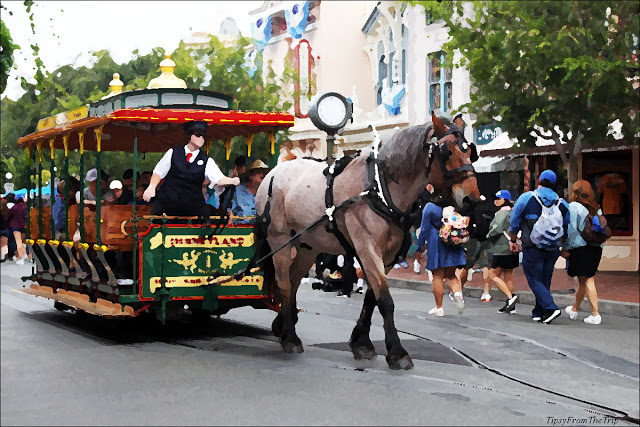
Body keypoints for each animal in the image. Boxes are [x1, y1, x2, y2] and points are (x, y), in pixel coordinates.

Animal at [252, 112, 478, 370]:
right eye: (447, 152)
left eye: (470, 150)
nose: (471, 199)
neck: (380, 187)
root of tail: (272, 174)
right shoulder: (367, 248)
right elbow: (386, 300)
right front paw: (397, 352)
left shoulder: (388, 256)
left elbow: (372, 297)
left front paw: (362, 343)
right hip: (279, 239)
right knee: (284, 284)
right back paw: (290, 338)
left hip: (307, 245)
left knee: (293, 281)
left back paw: (282, 327)